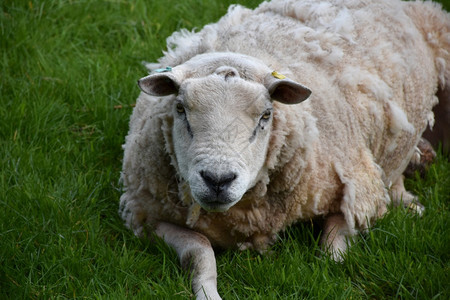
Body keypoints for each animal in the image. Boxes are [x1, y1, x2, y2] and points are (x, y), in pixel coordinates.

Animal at [119, 1, 450, 298]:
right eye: (180, 109)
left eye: (266, 115)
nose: (217, 180)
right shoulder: (148, 217)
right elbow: (199, 253)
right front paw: (207, 292)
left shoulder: (358, 190)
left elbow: (334, 247)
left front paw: (335, 270)